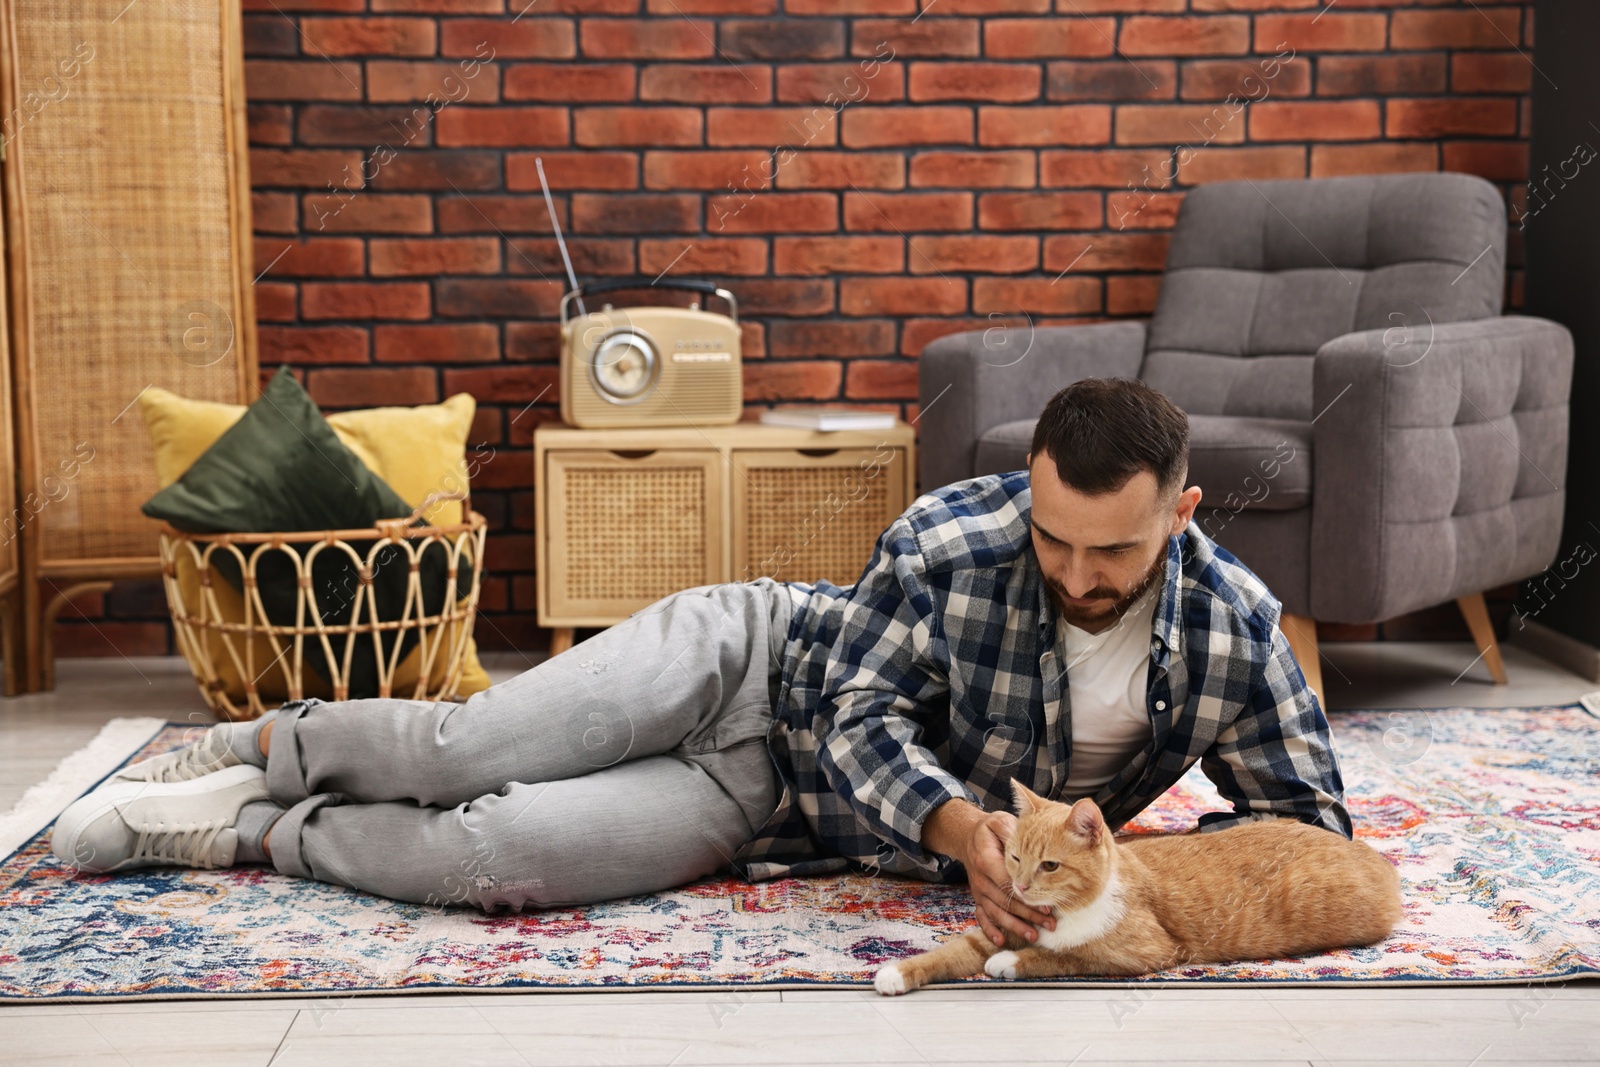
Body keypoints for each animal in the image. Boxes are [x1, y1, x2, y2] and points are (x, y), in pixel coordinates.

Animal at [876, 777, 1401, 991]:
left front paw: (1010, 962)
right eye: (1014, 857)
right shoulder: (996, 927)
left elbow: (1067, 956)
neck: (1063, 912)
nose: (1020, 888)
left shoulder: (1142, 952)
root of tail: (1375, 857)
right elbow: (948, 953)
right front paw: (895, 973)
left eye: (1050, 866)